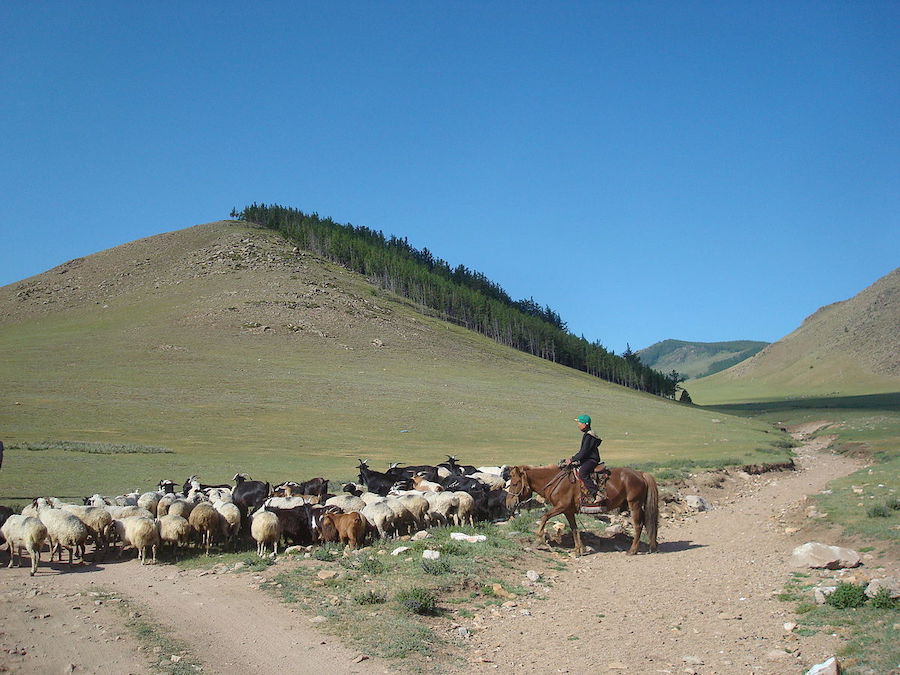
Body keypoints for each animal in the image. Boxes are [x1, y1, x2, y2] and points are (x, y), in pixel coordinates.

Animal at [506, 468, 660, 556]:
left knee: (638, 525)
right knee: (646, 523)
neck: (556, 482)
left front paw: (540, 539)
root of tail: (641, 474)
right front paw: (579, 550)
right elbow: (574, 528)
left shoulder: (560, 507)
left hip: (634, 503)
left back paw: (632, 551)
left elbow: (544, 517)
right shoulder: (568, 511)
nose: (508, 504)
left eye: (514, 484)